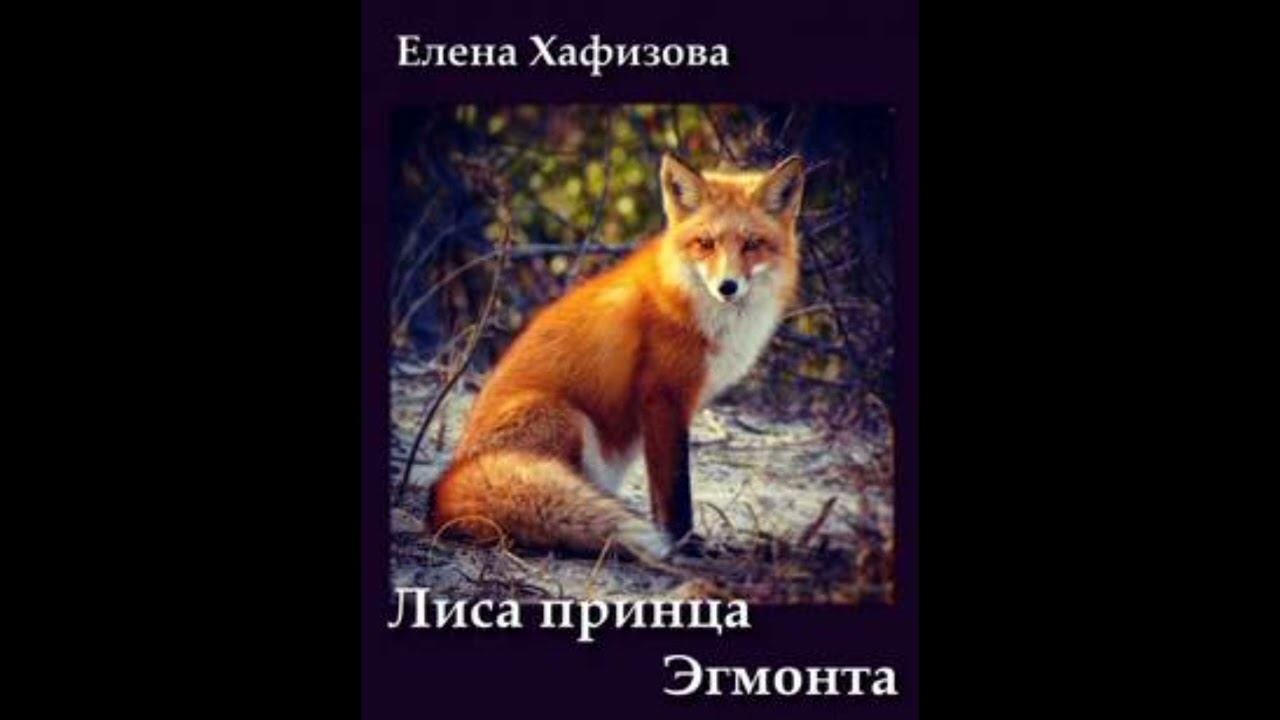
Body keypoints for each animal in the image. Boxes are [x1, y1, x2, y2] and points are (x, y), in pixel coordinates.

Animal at [427, 152, 806, 561]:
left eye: (752, 244)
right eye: (706, 243)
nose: (728, 286)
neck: (692, 302)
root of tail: (452, 479)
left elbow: (660, 495)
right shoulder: (663, 398)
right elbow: (674, 491)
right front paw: (686, 544)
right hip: (566, 417)